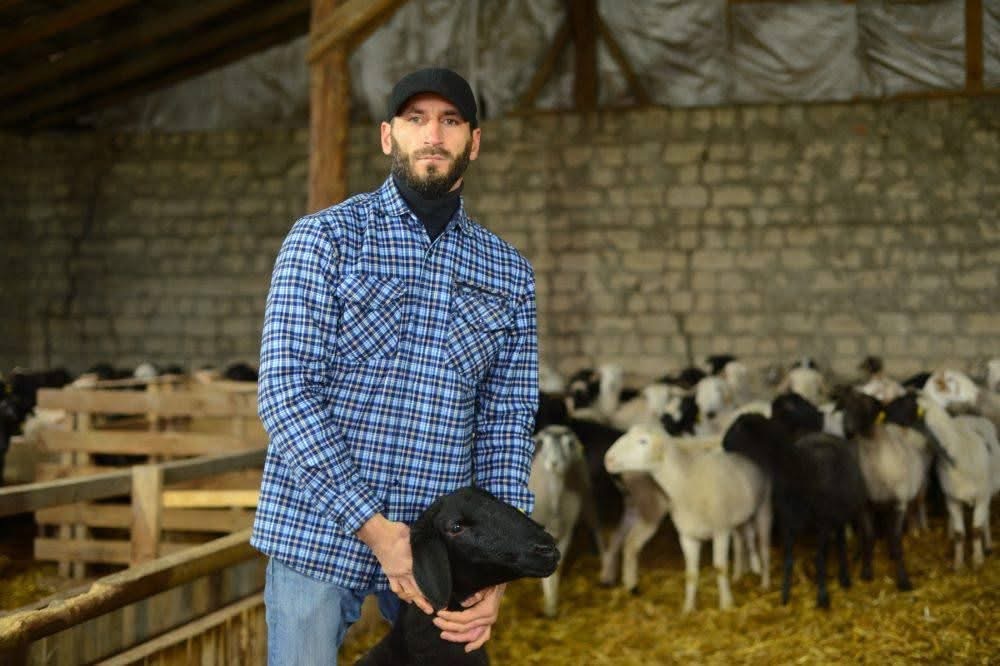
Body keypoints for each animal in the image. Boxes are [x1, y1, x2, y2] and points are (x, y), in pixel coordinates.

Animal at [600, 422, 772, 608]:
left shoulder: (720, 531)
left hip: (763, 508)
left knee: (763, 548)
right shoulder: (687, 536)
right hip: (736, 519)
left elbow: (720, 567)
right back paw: (738, 576)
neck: (686, 481)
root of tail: (746, 458)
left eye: (643, 441)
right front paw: (688, 608)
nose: (608, 459)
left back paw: (765, 583)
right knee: (740, 543)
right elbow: (690, 573)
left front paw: (726, 604)